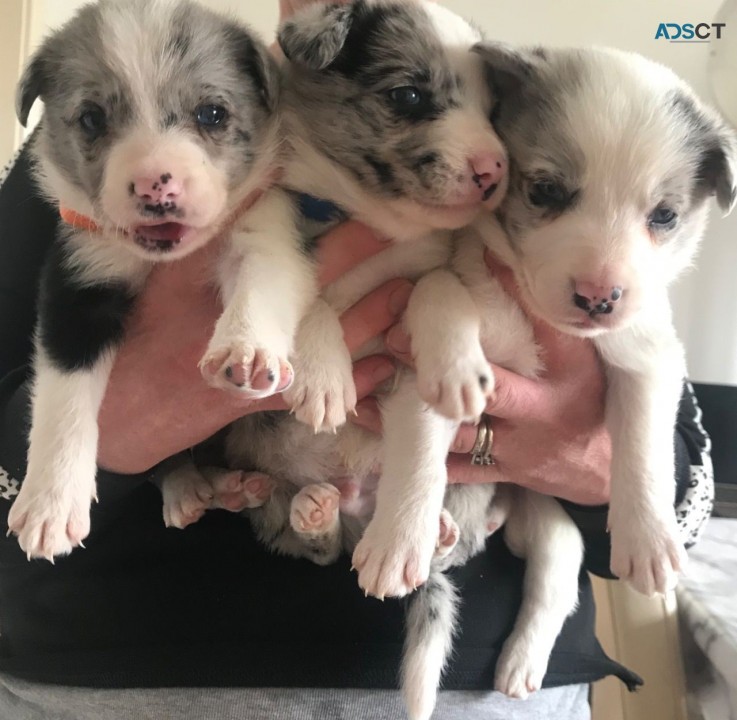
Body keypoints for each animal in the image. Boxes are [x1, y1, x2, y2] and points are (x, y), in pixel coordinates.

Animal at [7, 0, 320, 560]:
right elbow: (63, 397)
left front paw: (247, 349)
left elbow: (262, 279)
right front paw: (49, 502)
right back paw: (193, 487)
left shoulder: (265, 227)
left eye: (212, 114)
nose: (156, 185)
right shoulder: (80, 281)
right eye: (92, 118)